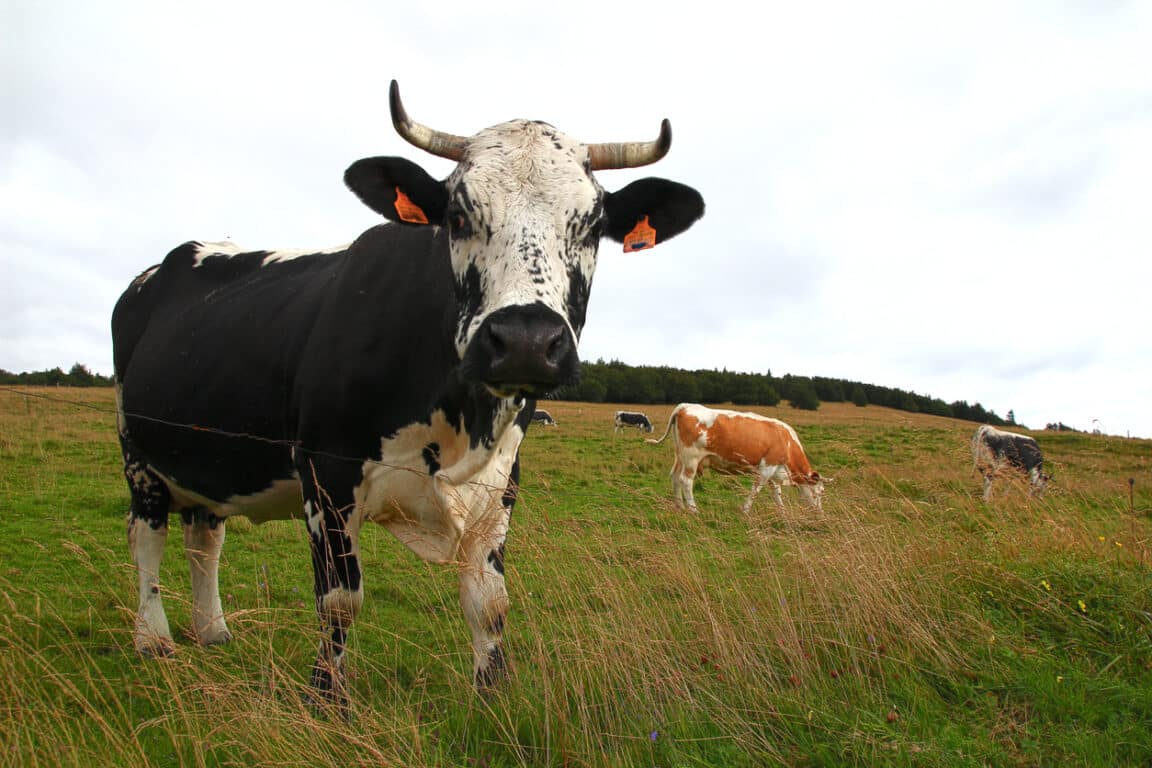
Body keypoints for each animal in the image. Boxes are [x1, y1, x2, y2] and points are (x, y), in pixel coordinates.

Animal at [112, 80, 705, 706]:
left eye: (591, 225)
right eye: (459, 215)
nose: (524, 341)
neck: (461, 424)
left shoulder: (501, 484)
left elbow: (490, 604)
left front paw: (492, 698)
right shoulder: (326, 473)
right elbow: (340, 601)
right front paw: (327, 699)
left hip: (208, 459)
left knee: (204, 537)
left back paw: (213, 631)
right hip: (138, 455)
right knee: (146, 537)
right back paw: (153, 638)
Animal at [647, 403, 825, 513]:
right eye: (819, 493)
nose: (820, 513)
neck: (786, 440)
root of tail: (685, 406)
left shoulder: (774, 471)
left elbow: (776, 493)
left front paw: (783, 512)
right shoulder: (766, 467)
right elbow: (756, 490)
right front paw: (745, 510)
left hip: (680, 456)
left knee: (675, 477)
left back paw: (679, 507)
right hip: (692, 458)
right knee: (685, 481)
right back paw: (693, 509)